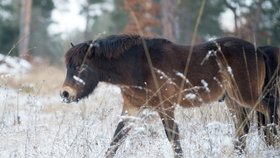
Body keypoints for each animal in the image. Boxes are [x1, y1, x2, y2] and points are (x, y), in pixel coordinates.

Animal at [60, 34, 274, 157]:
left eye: (80, 67)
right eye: (68, 67)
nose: (65, 94)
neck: (139, 65)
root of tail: (258, 51)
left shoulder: (166, 107)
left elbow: (173, 138)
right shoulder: (131, 108)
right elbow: (116, 139)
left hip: (247, 96)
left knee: (269, 112)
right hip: (232, 100)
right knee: (242, 126)